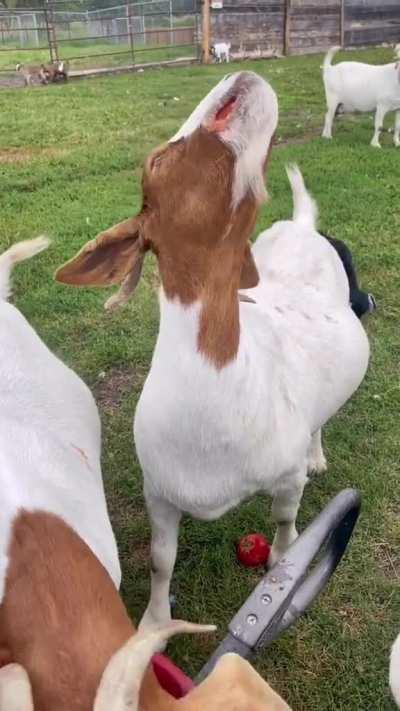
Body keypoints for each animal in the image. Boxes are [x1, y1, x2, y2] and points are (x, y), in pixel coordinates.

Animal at [56, 71, 370, 633]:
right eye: (157, 160)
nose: (242, 77)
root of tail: (303, 226)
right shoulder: (159, 492)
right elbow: (161, 560)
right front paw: (154, 623)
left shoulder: (284, 477)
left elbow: (286, 521)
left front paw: (279, 564)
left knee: (320, 421)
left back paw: (317, 456)